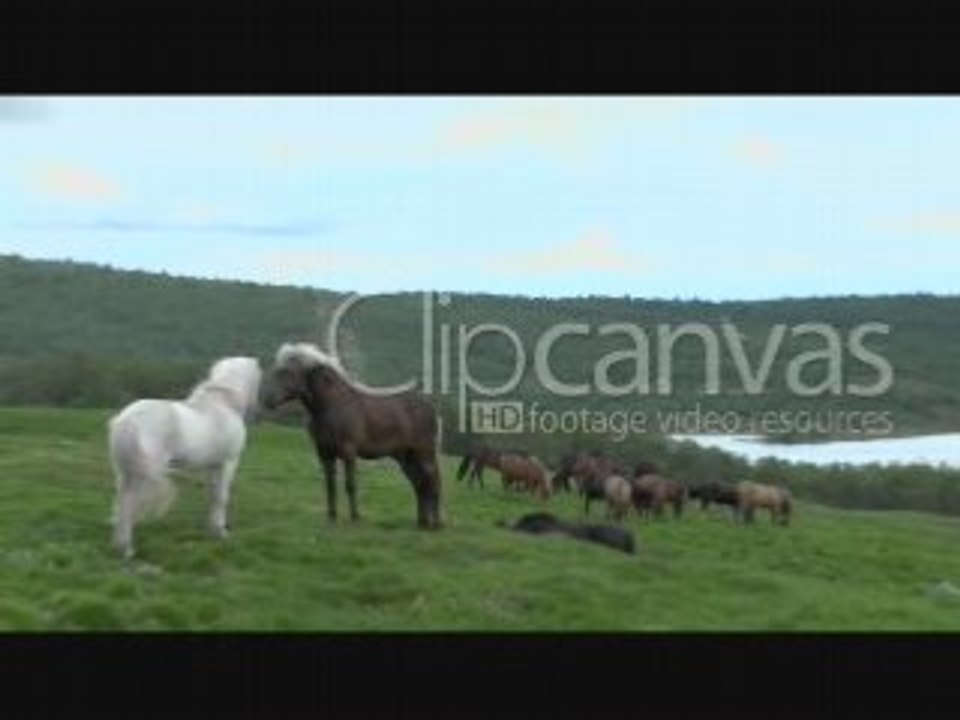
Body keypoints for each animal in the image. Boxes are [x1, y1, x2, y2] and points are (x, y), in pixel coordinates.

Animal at [107, 356, 263, 560]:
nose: (256, 410)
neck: (221, 405)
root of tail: (126, 420)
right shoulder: (228, 463)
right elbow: (222, 497)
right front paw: (221, 532)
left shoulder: (212, 467)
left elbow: (212, 496)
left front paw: (211, 529)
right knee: (129, 505)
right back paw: (127, 550)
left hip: (125, 474)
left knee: (121, 502)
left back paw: (120, 546)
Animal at [262, 342, 443, 530]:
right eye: (278, 371)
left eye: (287, 372)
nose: (267, 400)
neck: (332, 405)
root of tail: (430, 407)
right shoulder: (324, 453)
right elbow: (330, 485)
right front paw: (331, 517)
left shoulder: (348, 451)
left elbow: (350, 484)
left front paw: (355, 517)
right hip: (405, 458)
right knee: (419, 484)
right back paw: (422, 523)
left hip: (424, 453)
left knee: (433, 481)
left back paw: (435, 524)